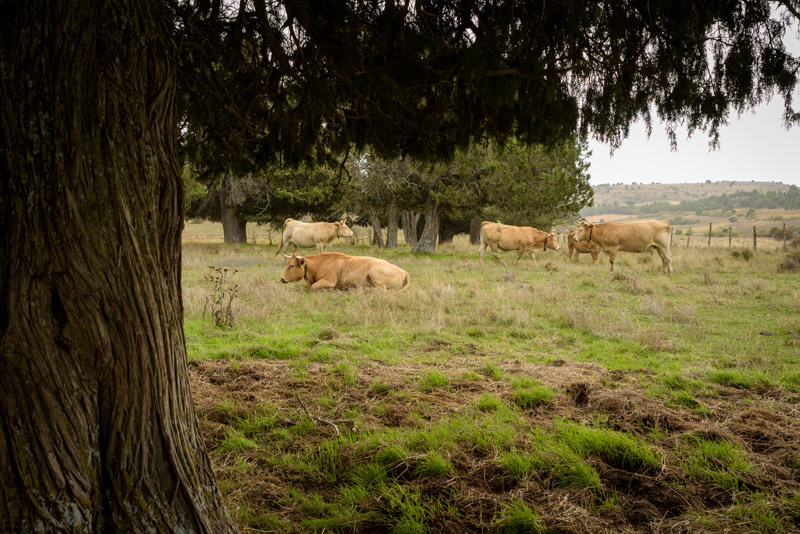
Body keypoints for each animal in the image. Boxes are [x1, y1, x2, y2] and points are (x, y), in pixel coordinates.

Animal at [280, 253, 410, 292]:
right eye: (286, 264)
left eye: (292, 265)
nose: (282, 278)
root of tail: (402, 271)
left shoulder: (329, 281)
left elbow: (313, 287)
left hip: (375, 275)